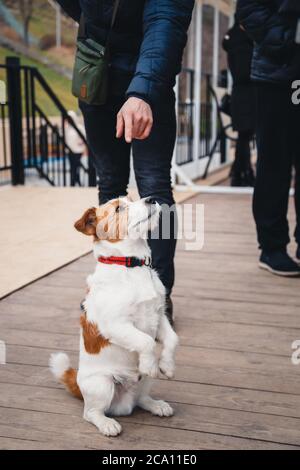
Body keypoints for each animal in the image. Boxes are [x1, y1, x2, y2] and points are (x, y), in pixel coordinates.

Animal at [48, 196, 177, 436]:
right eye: (119, 208)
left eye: (133, 199)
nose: (151, 199)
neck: (132, 266)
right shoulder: (116, 325)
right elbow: (145, 341)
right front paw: (150, 363)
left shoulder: (160, 315)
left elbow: (173, 339)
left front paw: (167, 365)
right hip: (102, 385)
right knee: (91, 413)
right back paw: (107, 423)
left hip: (144, 384)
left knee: (141, 399)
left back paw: (156, 404)